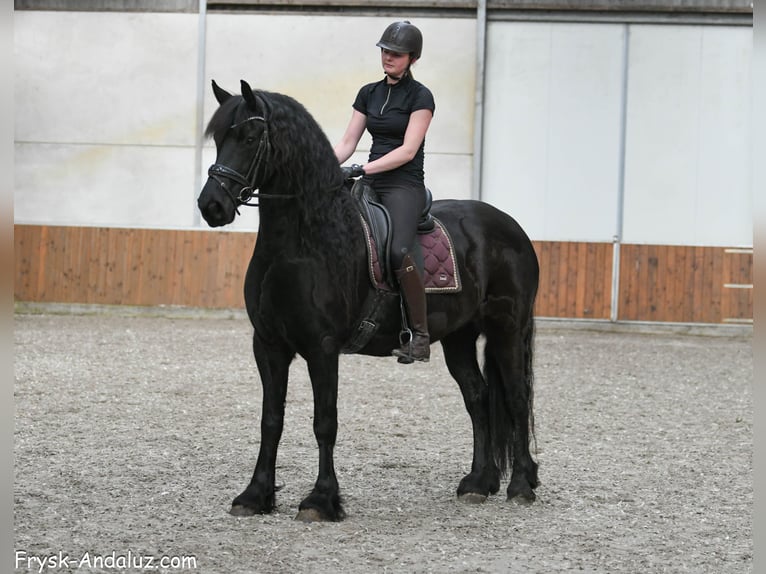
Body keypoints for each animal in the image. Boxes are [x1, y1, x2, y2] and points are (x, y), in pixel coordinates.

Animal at [197, 80, 540, 522]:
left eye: (251, 137)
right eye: (220, 138)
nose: (211, 206)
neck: (303, 244)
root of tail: (511, 227)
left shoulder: (322, 347)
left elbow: (325, 421)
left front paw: (321, 500)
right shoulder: (268, 345)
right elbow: (270, 420)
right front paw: (255, 495)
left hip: (506, 329)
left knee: (515, 397)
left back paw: (521, 486)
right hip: (459, 337)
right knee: (478, 399)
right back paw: (479, 483)